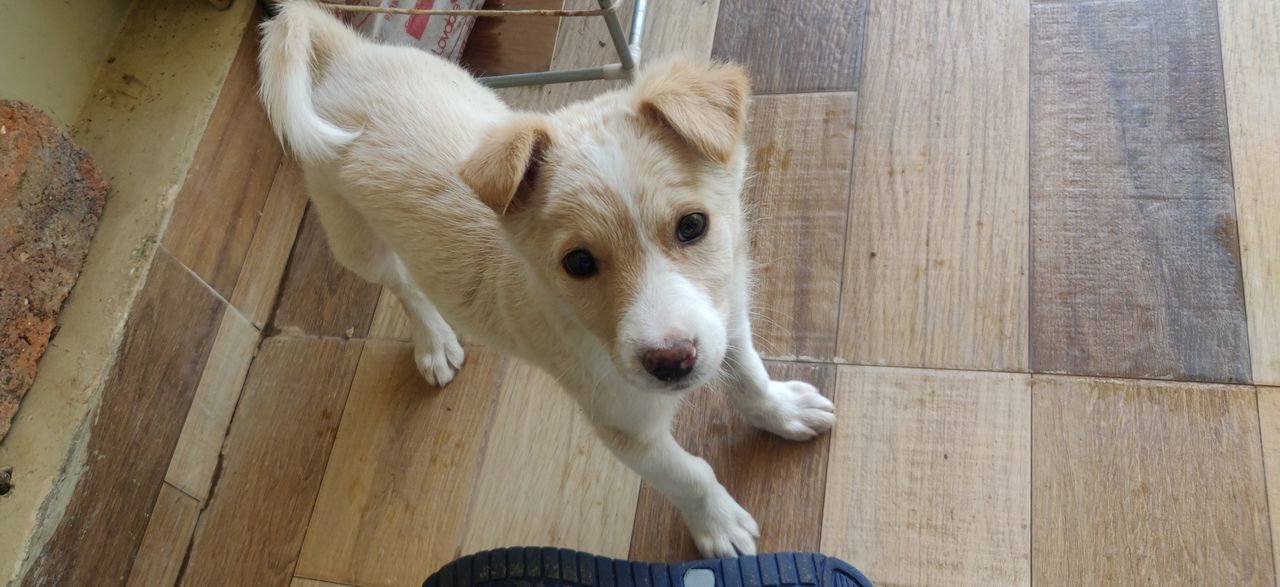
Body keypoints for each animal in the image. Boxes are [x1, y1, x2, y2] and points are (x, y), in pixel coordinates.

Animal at [261, 1, 839, 560]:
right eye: (579, 264)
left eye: (692, 225)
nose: (672, 363)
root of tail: (345, 54)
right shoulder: (624, 423)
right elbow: (688, 474)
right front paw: (718, 525)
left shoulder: (727, 318)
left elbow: (748, 376)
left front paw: (781, 410)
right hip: (352, 238)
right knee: (403, 284)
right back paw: (433, 342)